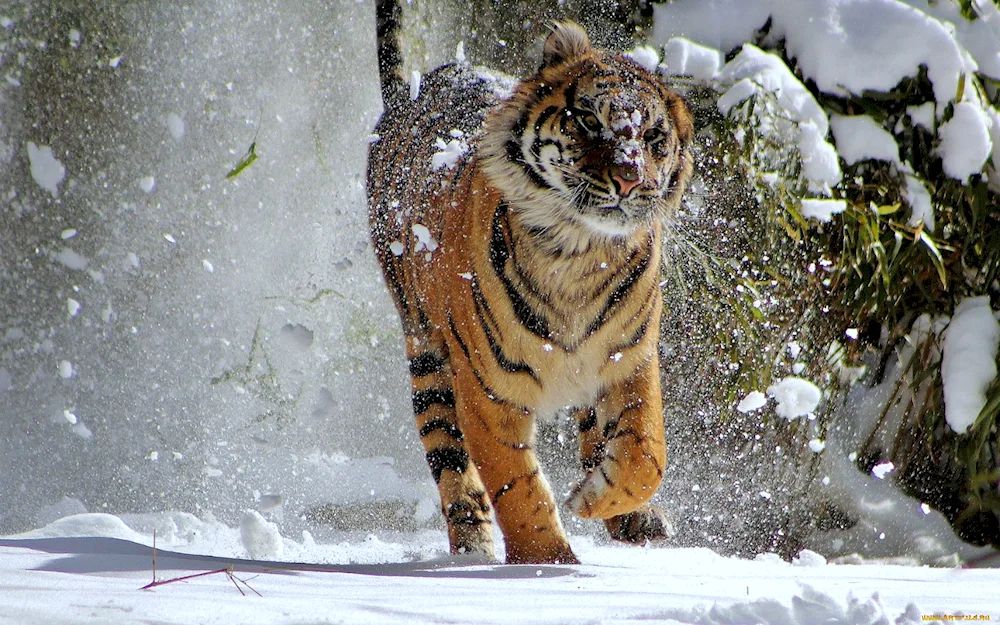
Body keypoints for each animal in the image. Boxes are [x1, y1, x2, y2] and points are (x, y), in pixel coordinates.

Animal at [368, 15, 696, 564]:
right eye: (589, 120)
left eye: (652, 135)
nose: (629, 177)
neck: (578, 254)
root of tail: (407, 93)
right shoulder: (487, 391)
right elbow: (517, 488)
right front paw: (547, 565)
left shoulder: (630, 359)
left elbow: (646, 452)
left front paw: (593, 499)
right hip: (426, 353)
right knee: (450, 460)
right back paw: (473, 544)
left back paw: (631, 516)